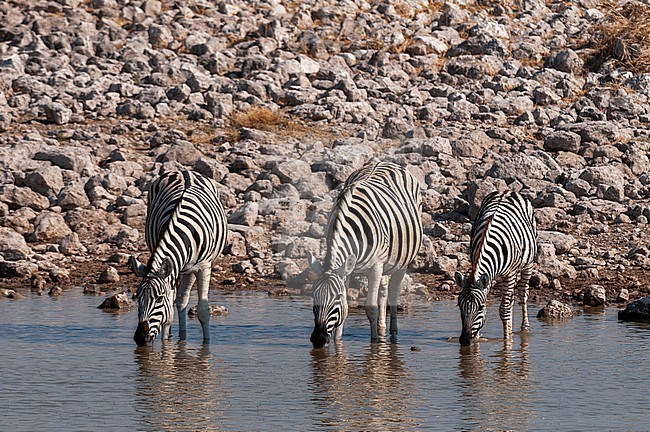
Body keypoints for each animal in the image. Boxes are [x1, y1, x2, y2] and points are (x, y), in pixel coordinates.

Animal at [130, 170, 227, 348]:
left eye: (158, 298)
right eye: (137, 297)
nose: (140, 338)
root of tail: (183, 171)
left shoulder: (204, 267)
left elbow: (203, 310)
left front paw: (207, 344)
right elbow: (169, 314)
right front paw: (166, 344)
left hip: (190, 269)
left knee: (182, 300)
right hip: (181, 268)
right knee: (180, 300)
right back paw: (179, 336)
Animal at [308, 161, 422, 348]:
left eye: (336, 296)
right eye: (313, 296)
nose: (318, 339)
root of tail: (385, 161)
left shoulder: (375, 267)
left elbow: (370, 307)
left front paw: (375, 343)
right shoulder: (347, 270)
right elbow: (346, 308)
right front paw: (338, 342)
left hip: (401, 263)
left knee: (393, 294)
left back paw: (393, 332)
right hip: (385, 263)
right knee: (383, 291)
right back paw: (382, 326)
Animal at [454, 191, 536, 346]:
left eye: (480, 307)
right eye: (459, 306)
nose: (465, 341)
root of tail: (507, 191)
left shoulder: (510, 274)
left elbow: (504, 311)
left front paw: (507, 341)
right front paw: (477, 341)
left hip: (528, 264)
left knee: (523, 293)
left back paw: (525, 328)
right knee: (511, 300)